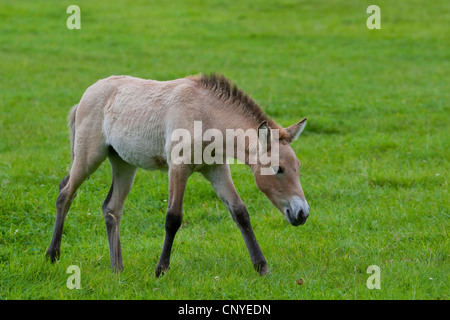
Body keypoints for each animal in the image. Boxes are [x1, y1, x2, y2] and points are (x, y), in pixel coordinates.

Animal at [47, 74, 310, 276]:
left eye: (297, 166)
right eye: (278, 169)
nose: (302, 213)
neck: (206, 116)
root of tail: (86, 95)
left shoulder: (216, 169)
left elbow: (240, 212)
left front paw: (262, 267)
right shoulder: (178, 168)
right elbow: (173, 218)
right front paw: (161, 270)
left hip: (124, 164)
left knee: (111, 208)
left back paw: (117, 268)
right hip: (88, 157)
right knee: (65, 193)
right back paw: (53, 255)